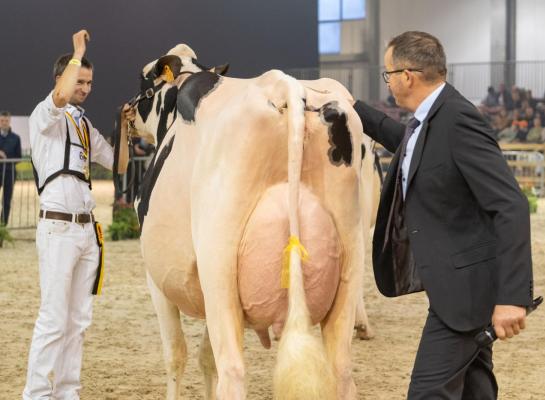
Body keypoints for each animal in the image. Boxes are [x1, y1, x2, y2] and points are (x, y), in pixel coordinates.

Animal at [126, 42, 374, 398]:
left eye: (143, 78)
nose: (128, 113)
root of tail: (285, 86)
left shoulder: (156, 279)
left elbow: (176, 356)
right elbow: (205, 358)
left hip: (219, 268)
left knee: (232, 370)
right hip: (350, 258)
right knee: (342, 372)